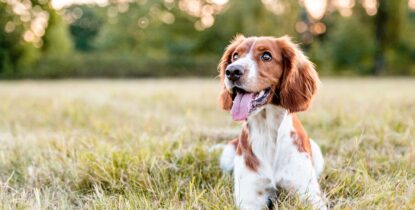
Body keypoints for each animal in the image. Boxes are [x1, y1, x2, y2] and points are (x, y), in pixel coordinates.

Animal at [218, 35, 328, 209]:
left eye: (266, 56)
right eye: (235, 56)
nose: (232, 71)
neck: (267, 130)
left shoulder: (310, 195)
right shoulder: (250, 198)